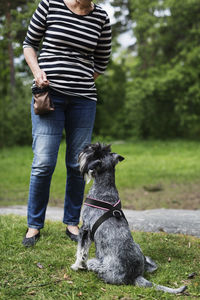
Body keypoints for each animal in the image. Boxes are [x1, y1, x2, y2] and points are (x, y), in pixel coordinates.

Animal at [71, 144, 187, 294]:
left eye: (95, 152)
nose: (84, 149)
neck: (105, 188)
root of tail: (135, 276)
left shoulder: (85, 228)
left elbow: (81, 250)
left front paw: (77, 265)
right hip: (138, 247)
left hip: (96, 263)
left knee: (94, 265)